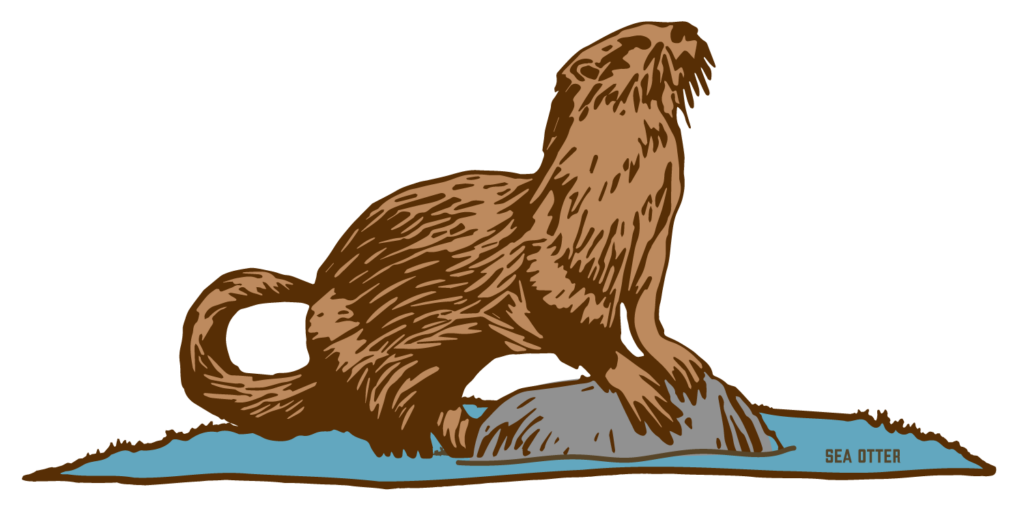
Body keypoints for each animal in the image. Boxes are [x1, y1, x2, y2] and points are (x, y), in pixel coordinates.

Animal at [179, 20, 716, 459]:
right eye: (637, 43)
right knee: (380, 409)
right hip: (367, 351)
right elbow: (580, 332)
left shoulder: (653, 254)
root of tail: (320, 364)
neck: (617, 211)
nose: (686, 30)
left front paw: (675, 357)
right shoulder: (554, 270)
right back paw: (415, 446)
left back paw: (466, 431)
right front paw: (637, 383)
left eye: (666, 26)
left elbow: (644, 314)